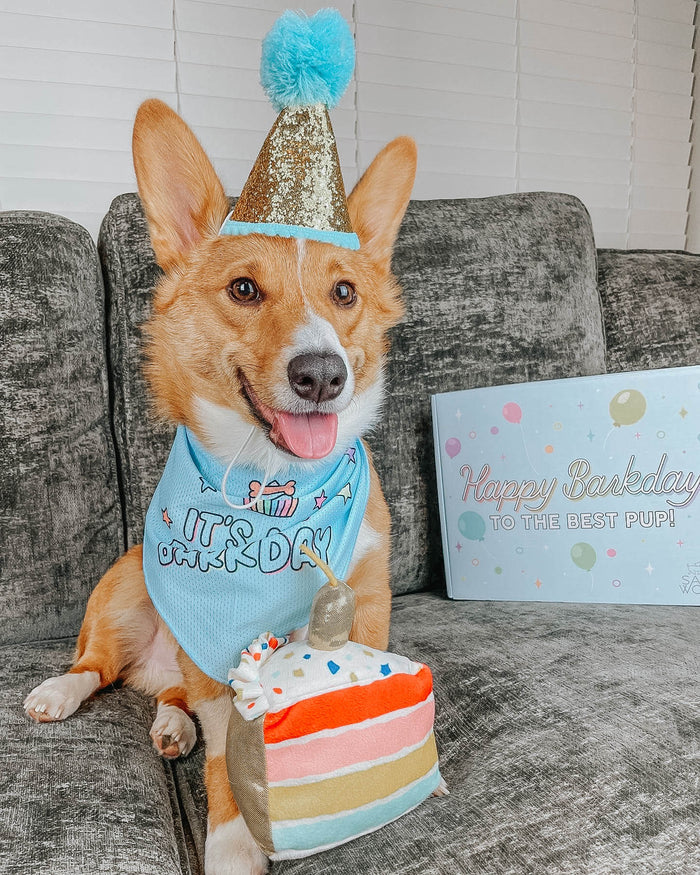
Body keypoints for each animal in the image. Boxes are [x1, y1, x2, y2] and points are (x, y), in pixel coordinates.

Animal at [24, 101, 418, 875]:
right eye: (243, 289)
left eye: (345, 293)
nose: (322, 375)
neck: (275, 491)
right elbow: (223, 760)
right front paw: (234, 844)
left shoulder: (369, 598)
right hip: (127, 589)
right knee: (99, 666)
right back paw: (63, 691)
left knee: (168, 693)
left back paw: (170, 725)